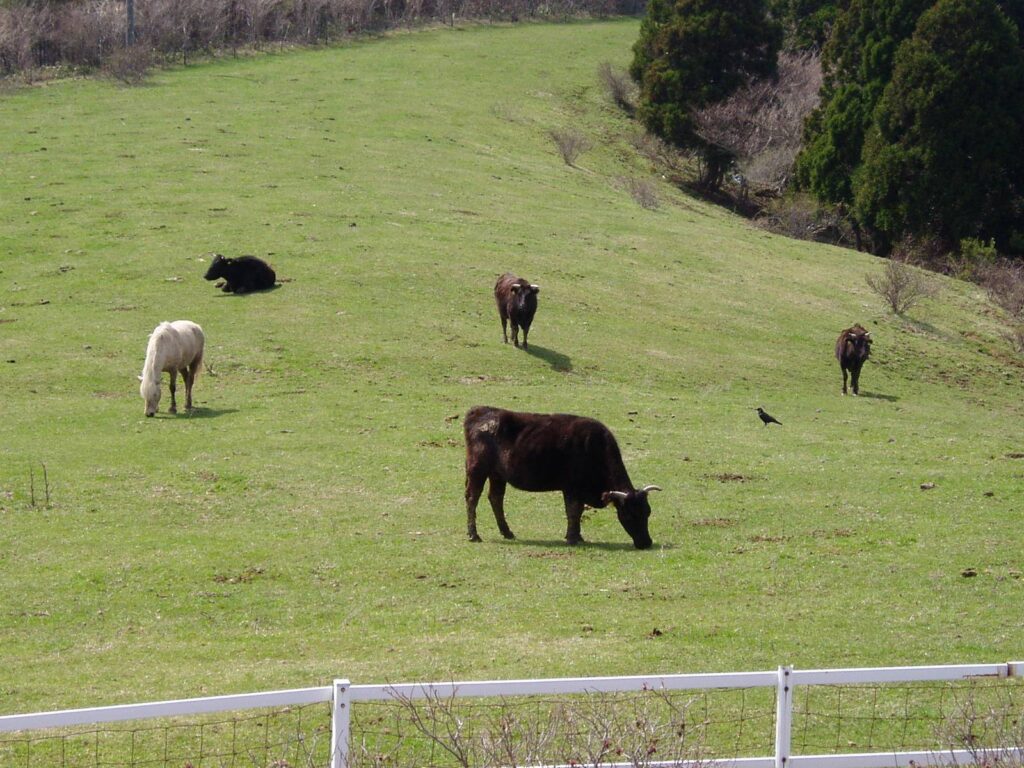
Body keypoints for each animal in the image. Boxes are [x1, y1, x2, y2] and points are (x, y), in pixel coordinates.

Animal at [462, 405, 659, 548]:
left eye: (648, 512)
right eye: (630, 515)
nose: (646, 543)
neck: (593, 448)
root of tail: (480, 410)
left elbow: (578, 511)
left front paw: (578, 536)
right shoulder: (572, 488)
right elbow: (573, 511)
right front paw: (572, 538)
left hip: (497, 475)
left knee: (495, 498)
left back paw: (507, 532)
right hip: (477, 470)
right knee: (472, 497)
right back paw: (474, 535)